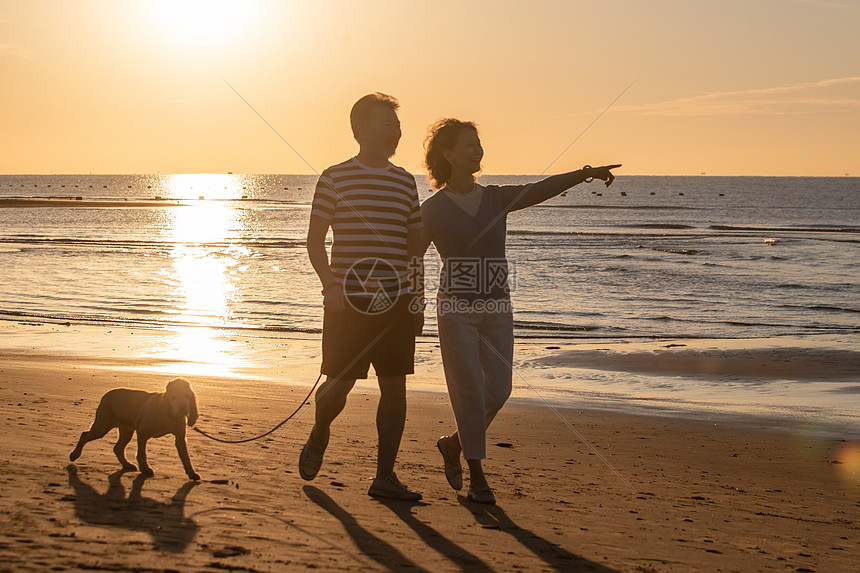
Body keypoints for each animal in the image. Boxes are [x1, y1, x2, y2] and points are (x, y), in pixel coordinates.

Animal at [69, 376, 201, 478]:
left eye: (188, 396)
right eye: (173, 397)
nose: (183, 407)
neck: (169, 415)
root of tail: (107, 394)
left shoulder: (180, 437)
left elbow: (186, 457)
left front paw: (191, 473)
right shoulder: (142, 432)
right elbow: (142, 453)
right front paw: (145, 468)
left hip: (126, 430)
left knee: (117, 448)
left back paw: (127, 464)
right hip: (102, 426)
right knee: (85, 434)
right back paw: (74, 455)